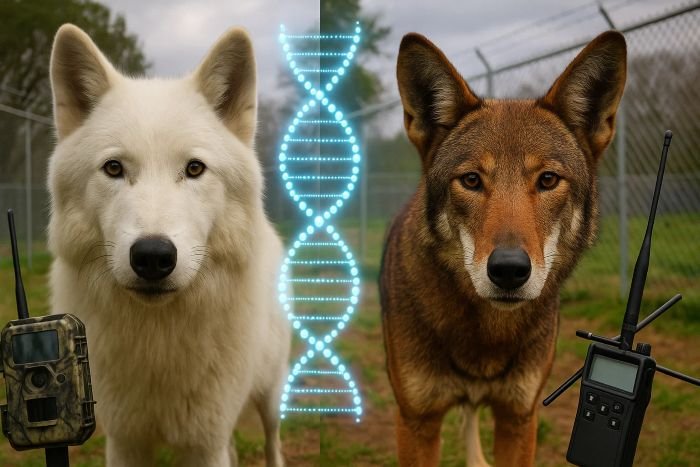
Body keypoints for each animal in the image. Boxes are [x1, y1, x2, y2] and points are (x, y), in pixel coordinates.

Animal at [47, 24, 290, 467]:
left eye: (194, 169)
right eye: (114, 168)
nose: (153, 257)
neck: (158, 341)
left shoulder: (204, 444)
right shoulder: (125, 440)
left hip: (270, 396)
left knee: (272, 440)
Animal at [380, 31, 627, 466]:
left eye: (548, 180)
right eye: (471, 180)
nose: (509, 270)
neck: (486, 335)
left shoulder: (518, 417)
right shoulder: (416, 422)